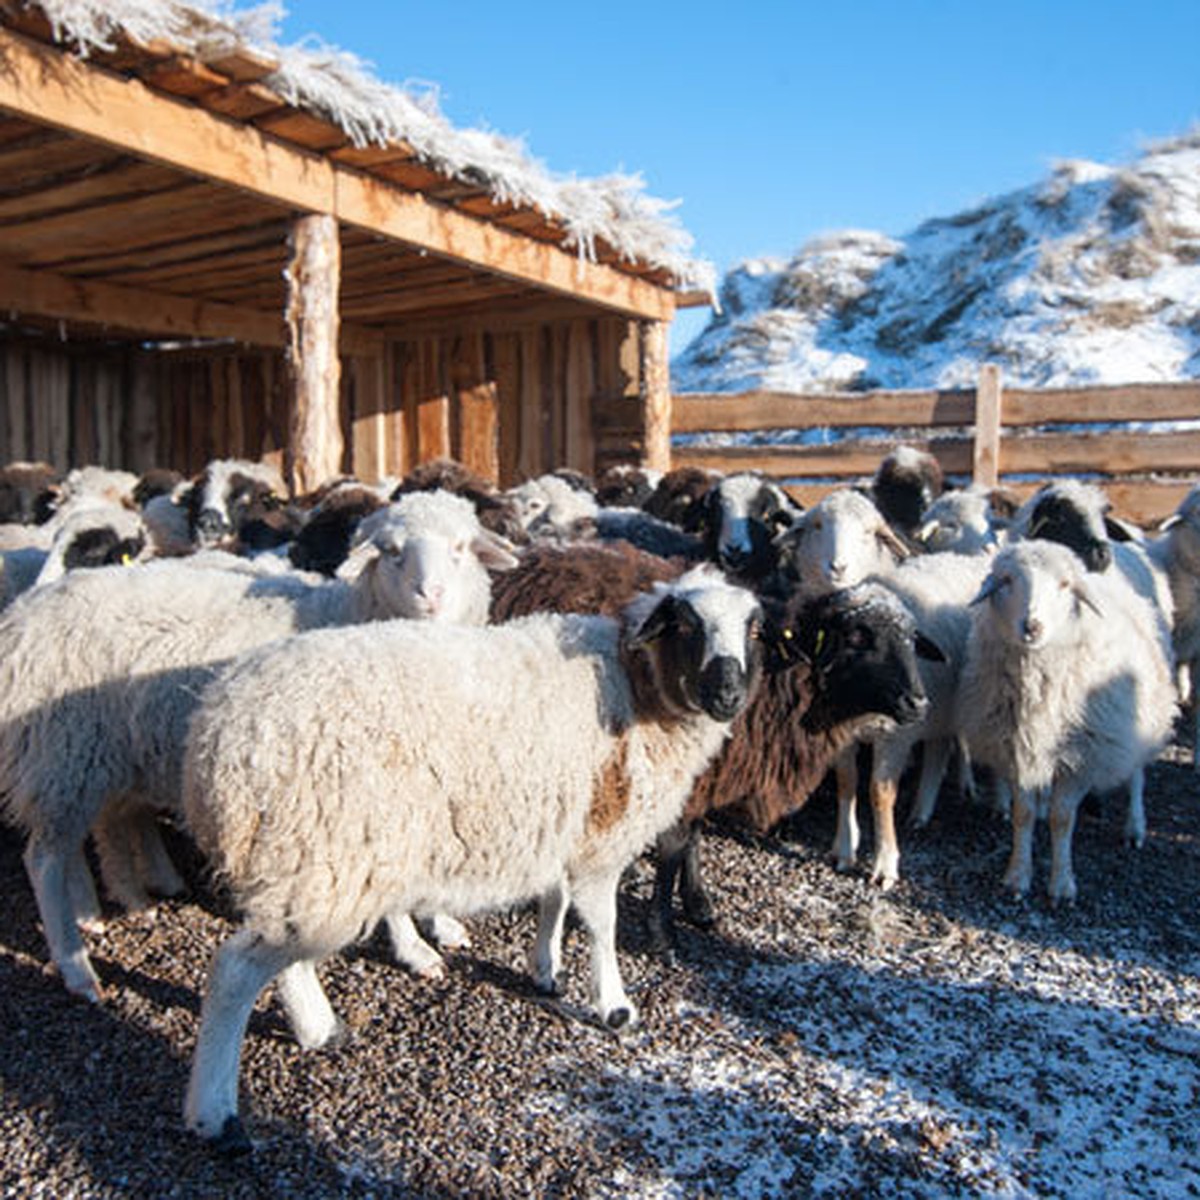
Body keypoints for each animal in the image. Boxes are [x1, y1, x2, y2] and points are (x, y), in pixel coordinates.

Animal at [177, 566, 758, 1147]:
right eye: (687, 626)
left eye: (752, 629)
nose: (729, 694)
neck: (638, 685)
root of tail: (216, 741)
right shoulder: (601, 838)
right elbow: (602, 923)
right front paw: (614, 1005)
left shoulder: (561, 819)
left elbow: (554, 897)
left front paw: (545, 967)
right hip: (323, 850)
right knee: (234, 972)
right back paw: (215, 1113)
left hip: (315, 864)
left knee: (284, 957)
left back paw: (319, 1029)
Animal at [960, 544, 1176, 902]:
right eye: (1006, 580)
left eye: (1064, 585)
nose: (1032, 626)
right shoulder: (1017, 750)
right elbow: (1023, 814)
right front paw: (1017, 876)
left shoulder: (1084, 758)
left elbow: (1062, 819)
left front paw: (1061, 885)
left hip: (1138, 721)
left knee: (1136, 775)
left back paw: (1134, 827)